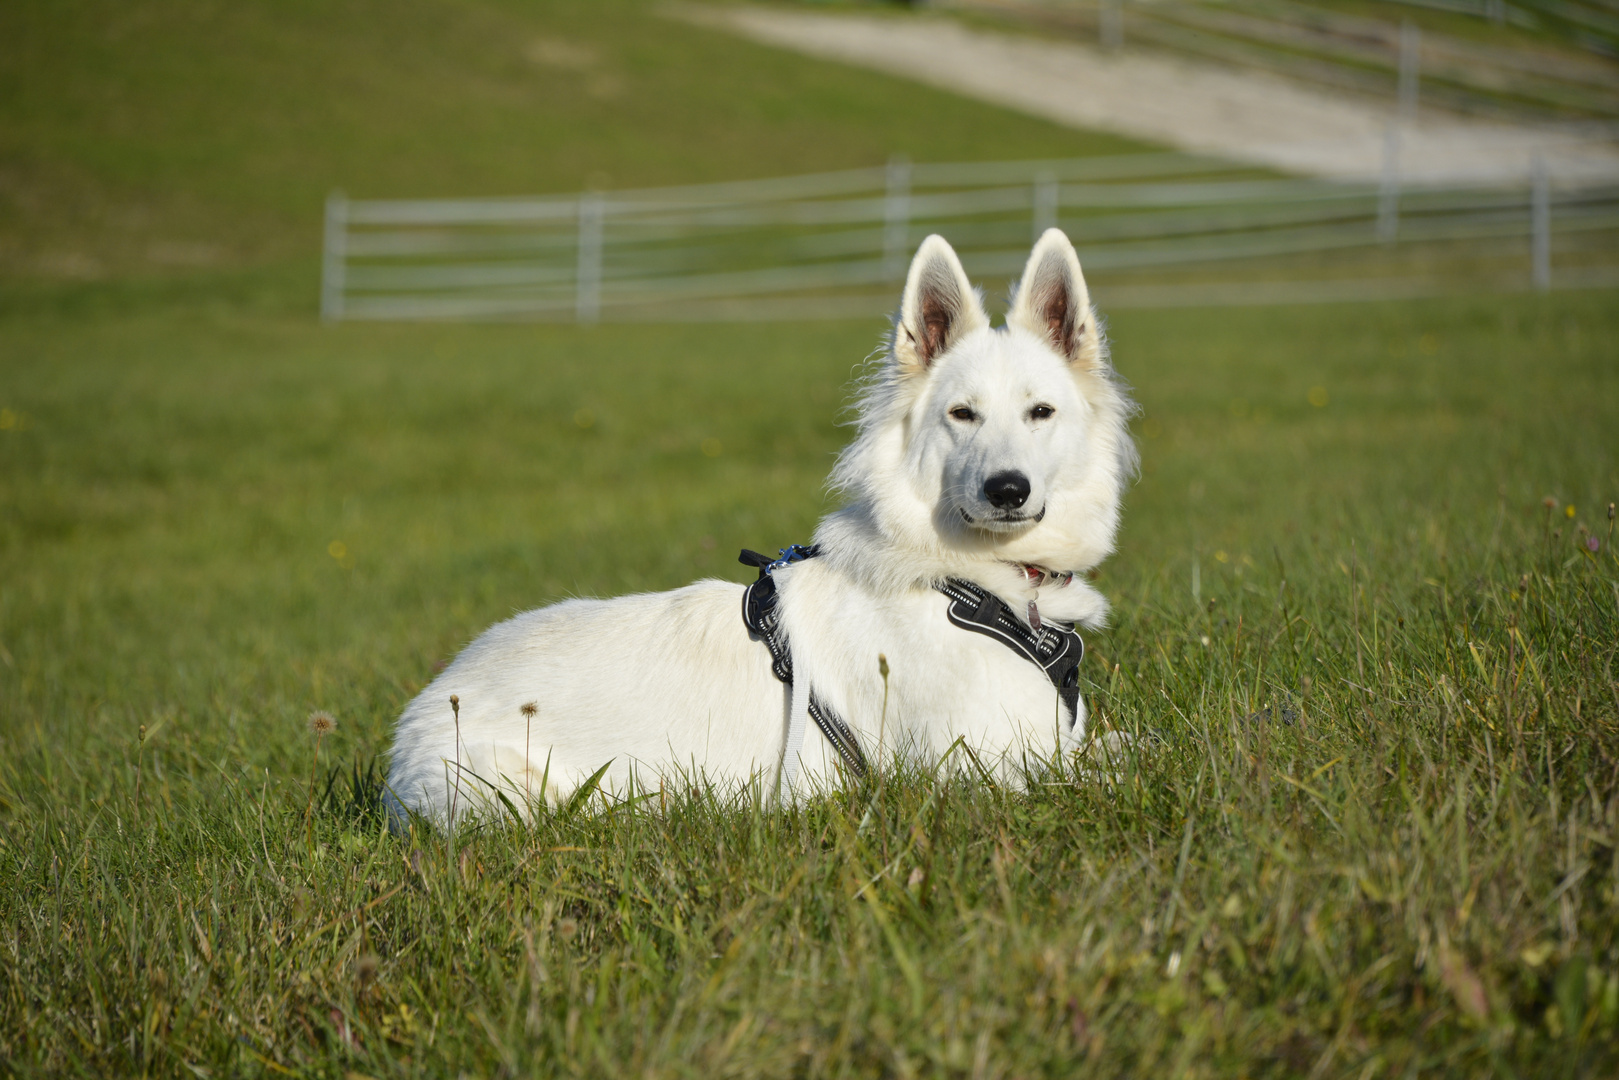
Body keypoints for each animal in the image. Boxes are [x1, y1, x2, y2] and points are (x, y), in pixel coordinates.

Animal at [383, 229, 1133, 829]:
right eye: (962, 414)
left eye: (1040, 412)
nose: (1007, 490)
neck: (973, 585)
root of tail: (414, 722)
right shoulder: (982, 768)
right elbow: (1114, 763)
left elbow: (1124, 744)